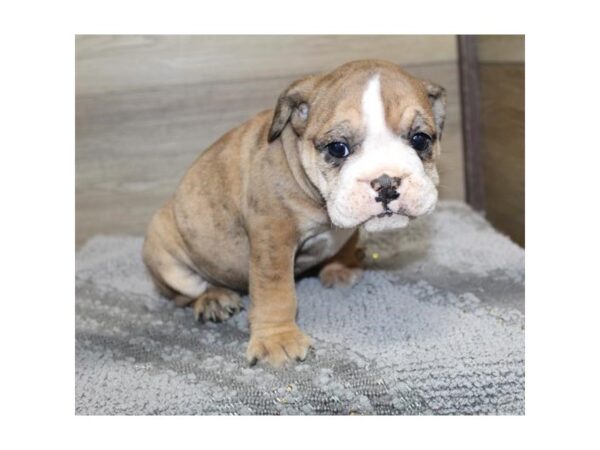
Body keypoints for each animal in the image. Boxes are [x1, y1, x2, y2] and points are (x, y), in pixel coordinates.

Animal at [143, 59, 446, 368]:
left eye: (420, 140)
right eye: (338, 148)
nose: (386, 183)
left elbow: (345, 242)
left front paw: (341, 266)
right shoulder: (273, 236)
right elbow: (275, 292)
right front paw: (278, 340)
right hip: (164, 253)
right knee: (183, 294)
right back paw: (214, 298)